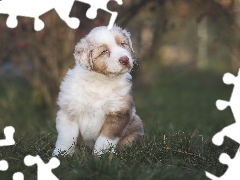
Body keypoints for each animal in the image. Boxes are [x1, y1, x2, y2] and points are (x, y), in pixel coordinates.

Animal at [52, 25, 143, 156]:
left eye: (122, 44)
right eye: (104, 51)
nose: (125, 59)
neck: (100, 81)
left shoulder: (118, 113)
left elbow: (105, 139)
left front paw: (101, 155)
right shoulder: (69, 110)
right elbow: (67, 137)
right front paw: (62, 154)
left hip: (135, 125)